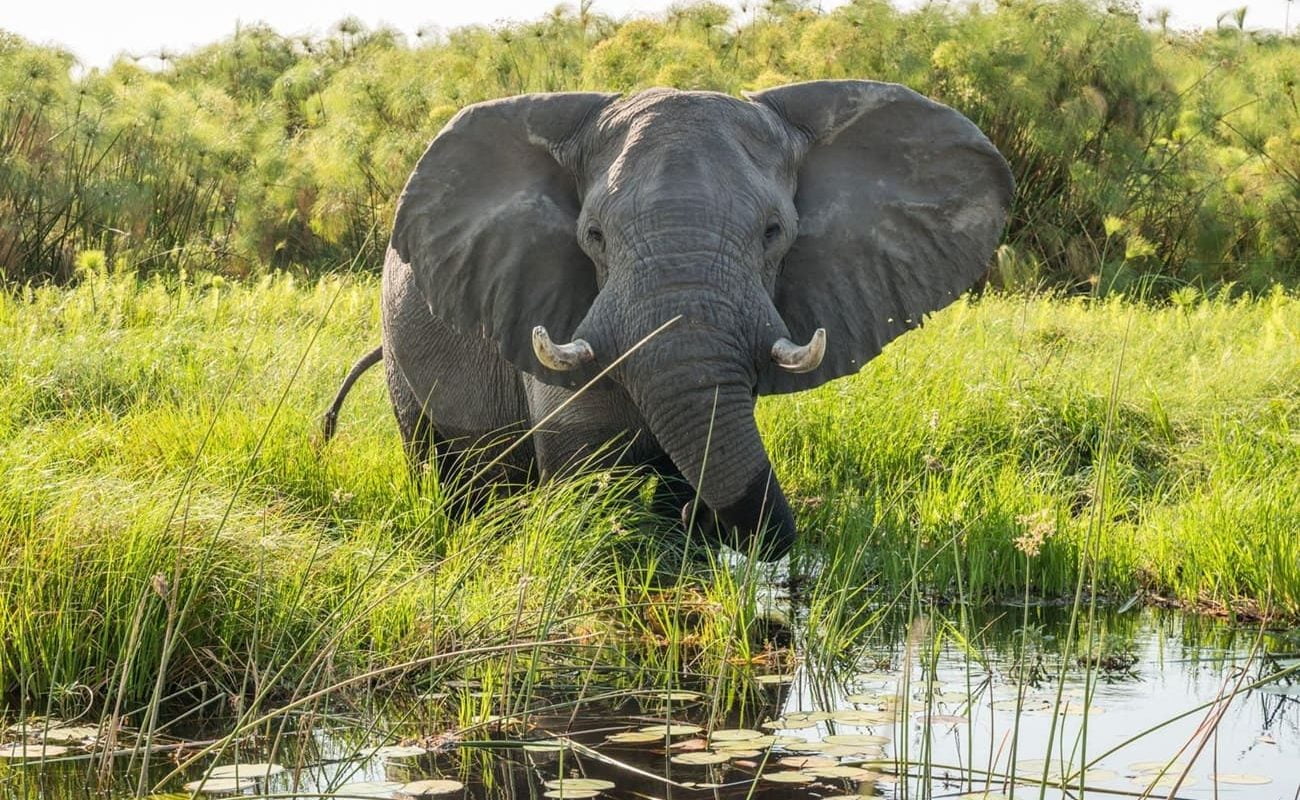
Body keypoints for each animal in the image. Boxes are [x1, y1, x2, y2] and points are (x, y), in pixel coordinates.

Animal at [322, 79, 1014, 561]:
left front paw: (680, 534)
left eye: (775, 233)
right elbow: (589, 467)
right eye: (594, 236)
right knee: (442, 465)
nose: (705, 524)